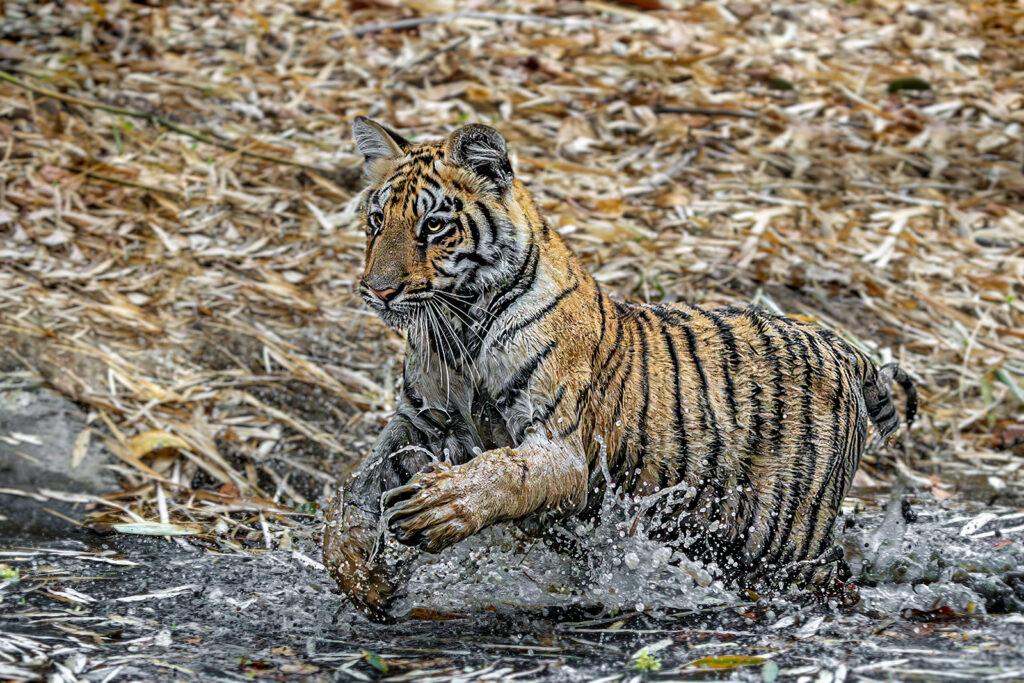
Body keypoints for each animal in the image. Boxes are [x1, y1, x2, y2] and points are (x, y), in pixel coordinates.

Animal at [321, 117, 917, 622]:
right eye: (377, 220)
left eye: (434, 225)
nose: (377, 291)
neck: (460, 327)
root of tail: (837, 341)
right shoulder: (420, 420)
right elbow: (354, 486)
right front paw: (359, 575)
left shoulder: (559, 445)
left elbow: (504, 472)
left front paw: (441, 507)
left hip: (786, 538)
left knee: (830, 578)